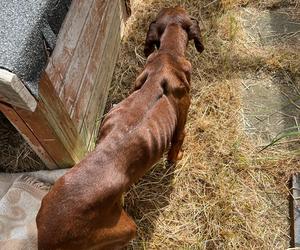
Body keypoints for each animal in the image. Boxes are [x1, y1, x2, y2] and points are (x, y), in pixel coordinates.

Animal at [35, 6, 204, 250]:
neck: (167, 55)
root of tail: (48, 238)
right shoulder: (181, 123)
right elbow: (176, 145)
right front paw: (177, 158)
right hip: (126, 228)